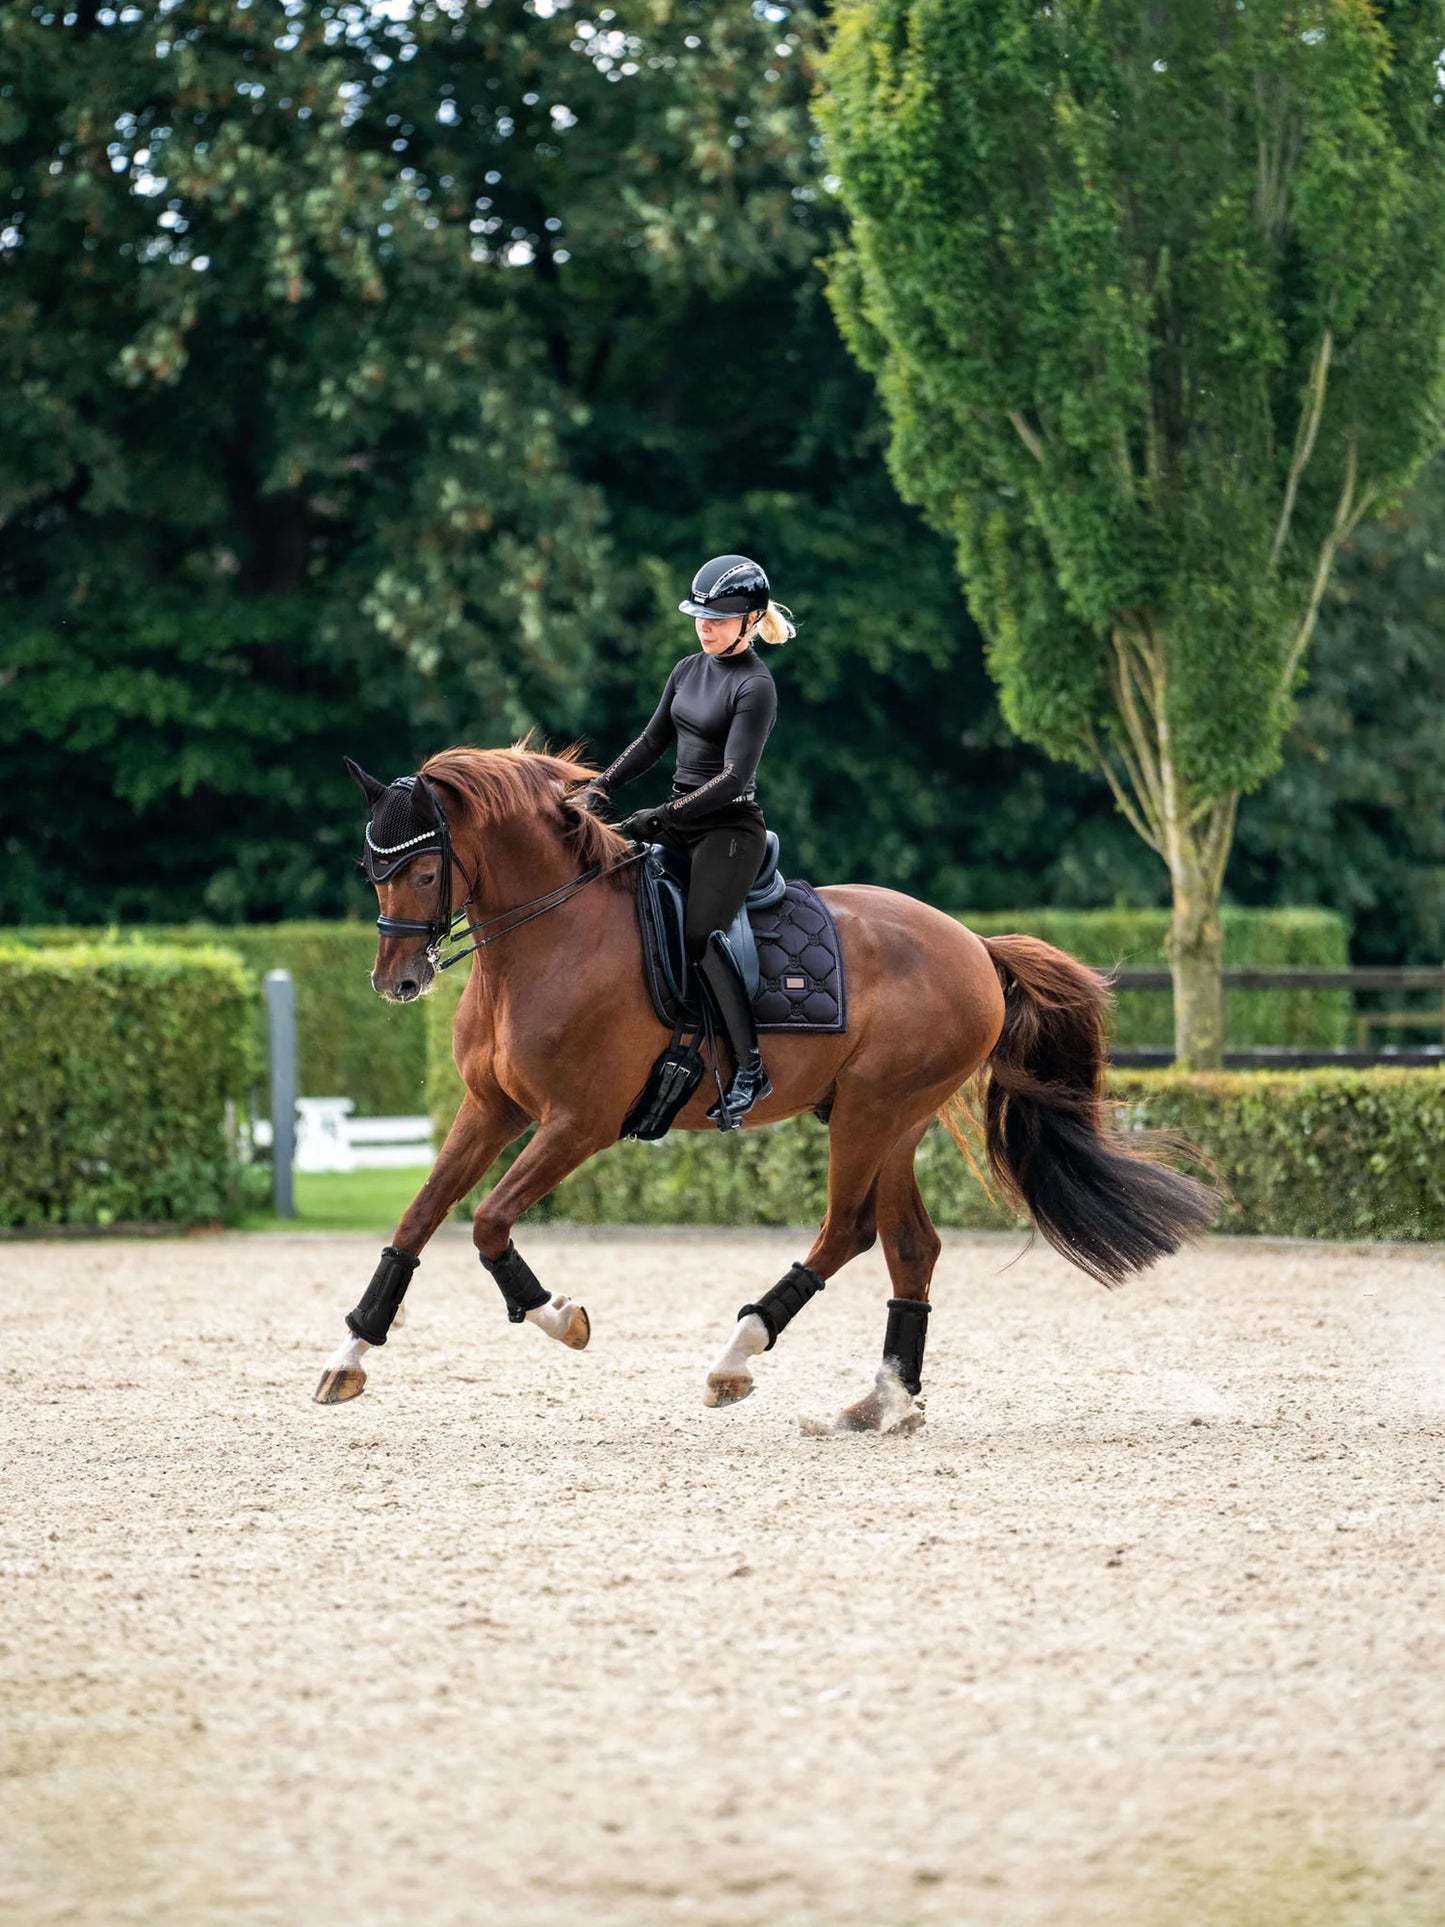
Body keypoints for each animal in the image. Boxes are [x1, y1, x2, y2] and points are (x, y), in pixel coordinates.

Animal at [315, 743, 1225, 1425]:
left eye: (424, 872)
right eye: (369, 865)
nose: (396, 982)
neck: (550, 938)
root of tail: (973, 943)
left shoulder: (578, 1121)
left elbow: (489, 1221)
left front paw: (559, 1316)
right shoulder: (491, 1108)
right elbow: (419, 1218)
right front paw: (349, 1352)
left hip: (871, 1112)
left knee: (846, 1232)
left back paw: (736, 1356)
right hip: (890, 1120)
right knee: (909, 1246)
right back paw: (884, 1400)